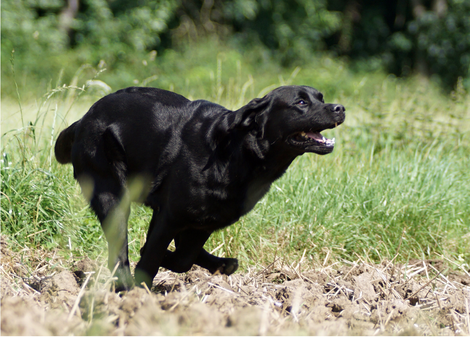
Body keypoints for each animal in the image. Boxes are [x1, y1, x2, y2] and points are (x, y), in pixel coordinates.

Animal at [55, 84, 346, 288]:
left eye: (321, 98)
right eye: (300, 102)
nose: (340, 108)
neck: (237, 153)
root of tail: (84, 119)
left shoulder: (203, 221)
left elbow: (184, 258)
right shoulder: (170, 216)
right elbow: (152, 257)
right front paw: (141, 292)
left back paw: (222, 263)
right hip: (111, 196)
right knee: (118, 253)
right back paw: (125, 287)